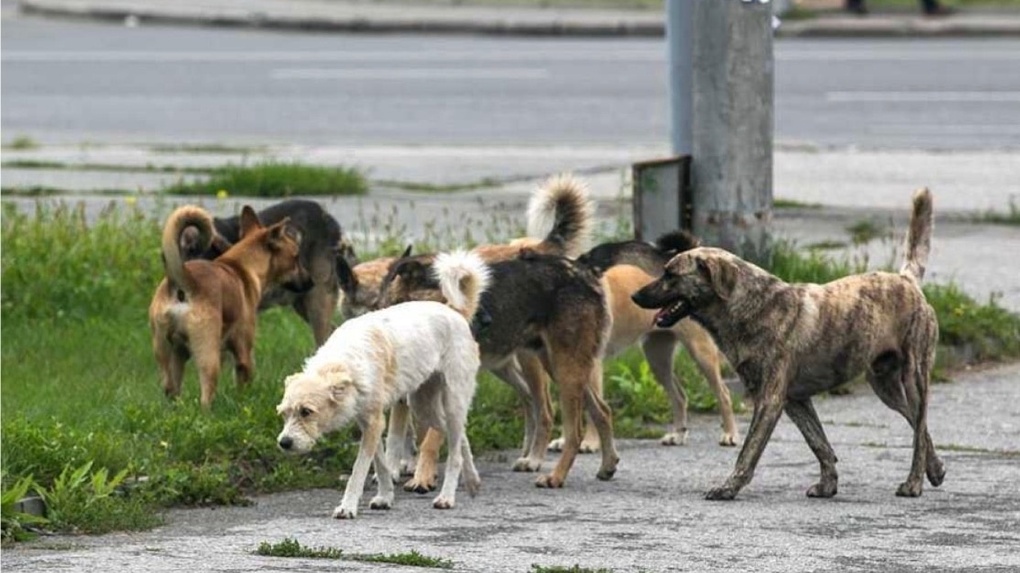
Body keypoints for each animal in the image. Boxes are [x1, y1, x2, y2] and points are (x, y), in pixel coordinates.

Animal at [146, 203, 306, 405]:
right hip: (207, 355)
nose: (310, 281)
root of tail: (183, 281)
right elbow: (244, 381)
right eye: (296, 257)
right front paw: (244, 402)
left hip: (167, 353)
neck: (241, 266)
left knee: (170, 389)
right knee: (206, 394)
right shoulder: (244, 352)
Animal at [277, 247, 487, 515]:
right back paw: (472, 480)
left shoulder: (374, 423)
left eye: (306, 412)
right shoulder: (369, 423)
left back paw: (447, 497)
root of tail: (454, 311)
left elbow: (359, 469)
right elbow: (382, 464)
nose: (284, 443)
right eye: (284, 414)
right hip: (424, 406)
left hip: (451, 400)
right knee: (459, 438)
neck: (343, 362)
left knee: (455, 451)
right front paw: (385, 497)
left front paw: (348, 506)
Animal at [632, 188, 942, 499]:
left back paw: (914, 483)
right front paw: (828, 484)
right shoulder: (795, 400)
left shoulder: (769, 400)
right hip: (884, 386)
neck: (749, 306)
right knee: (919, 425)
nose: (634, 296)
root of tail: (906, 280)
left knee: (919, 428)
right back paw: (935, 469)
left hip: (914, 377)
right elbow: (819, 443)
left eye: (671, 274)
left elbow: (748, 451)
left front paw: (729, 487)